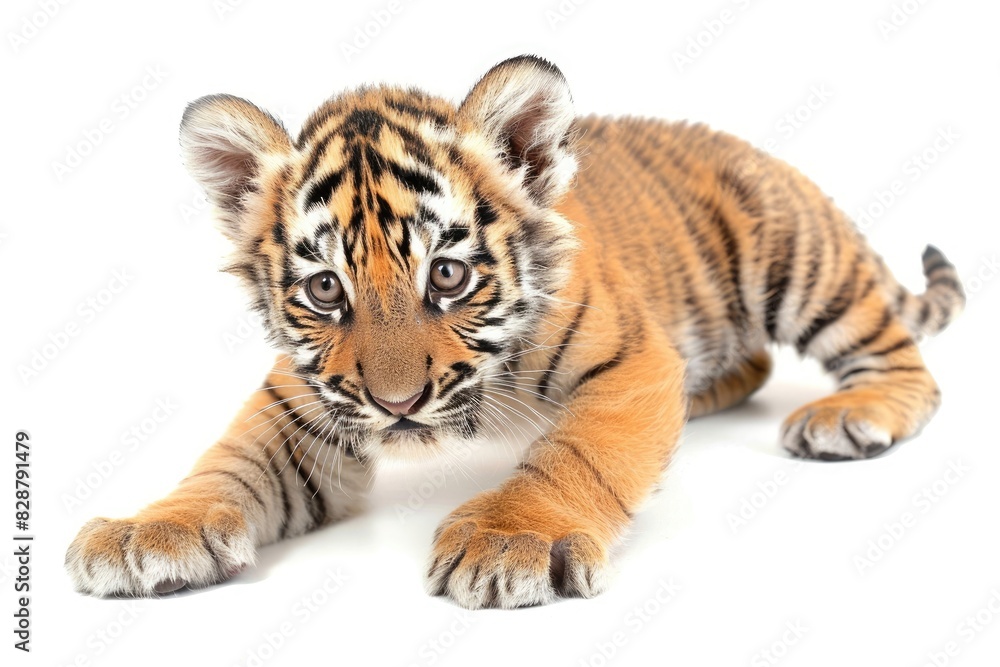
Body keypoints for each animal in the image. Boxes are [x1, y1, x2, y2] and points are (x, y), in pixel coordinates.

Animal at [65, 55, 965, 609]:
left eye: (447, 276)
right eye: (325, 289)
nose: (397, 405)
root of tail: (759, 152)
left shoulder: (631, 363)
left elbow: (578, 451)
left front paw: (511, 539)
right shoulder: (302, 398)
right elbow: (230, 460)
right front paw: (151, 529)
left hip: (799, 264)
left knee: (904, 362)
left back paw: (849, 415)